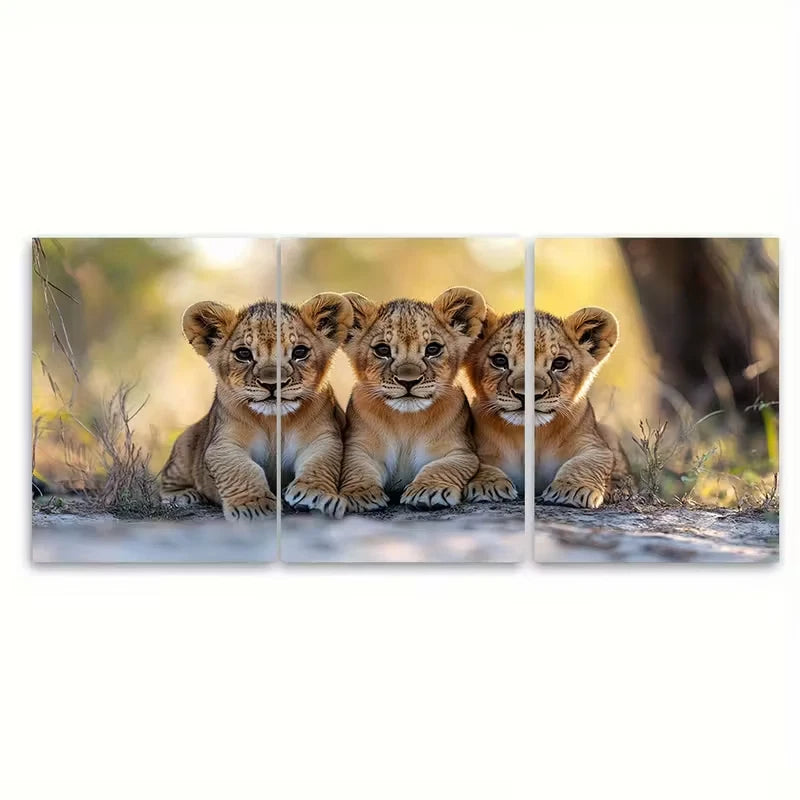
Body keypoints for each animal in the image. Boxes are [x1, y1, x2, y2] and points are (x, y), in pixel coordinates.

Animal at [160, 294, 353, 520]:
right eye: (243, 354)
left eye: (300, 352)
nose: (272, 384)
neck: (273, 421)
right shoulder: (222, 445)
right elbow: (241, 470)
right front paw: (255, 506)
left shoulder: (324, 437)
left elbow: (321, 462)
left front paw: (316, 494)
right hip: (185, 442)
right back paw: (182, 496)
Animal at [338, 287, 487, 512]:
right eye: (382, 350)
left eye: (432, 349)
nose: (408, 381)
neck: (406, 421)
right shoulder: (358, 448)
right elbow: (357, 470)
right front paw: (358, 495)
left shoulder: (462, 452)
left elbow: (441, 467)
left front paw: (429, 490)